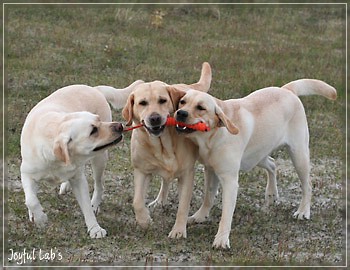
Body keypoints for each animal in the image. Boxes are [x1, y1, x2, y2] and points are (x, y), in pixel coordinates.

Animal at [19, 80, 142, 238]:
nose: (119, 126)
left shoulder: (79, 180)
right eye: (93, 130)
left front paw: (95, 229)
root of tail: (94, 88)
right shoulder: (26, 174)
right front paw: (39, 217)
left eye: (98, 120)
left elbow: (86, 206)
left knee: (99, 184)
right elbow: (31, 200)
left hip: (99, 159)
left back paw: (94, 202)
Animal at [102, 62, 212, 238]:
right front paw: (144, 221)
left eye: (162, 100)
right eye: (142, 103)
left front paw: (178, 230)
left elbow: (183, 206)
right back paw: (159, 200)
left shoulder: (187, 174)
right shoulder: (141, 171)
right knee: (165, 181)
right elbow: (137, 201)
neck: (162, 145)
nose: (154, 118)